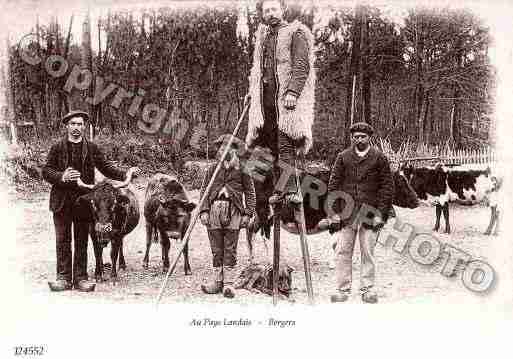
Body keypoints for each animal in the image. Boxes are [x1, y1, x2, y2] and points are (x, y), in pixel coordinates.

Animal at [246, 167, 418, 262]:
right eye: (401, 182)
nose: (416, 200)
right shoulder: (335, 221)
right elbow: (336, 244)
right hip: (265, 211)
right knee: (263, 235)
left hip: (261, 214)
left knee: (251, 230)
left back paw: (252, 259)